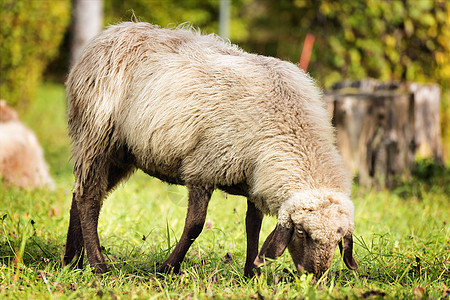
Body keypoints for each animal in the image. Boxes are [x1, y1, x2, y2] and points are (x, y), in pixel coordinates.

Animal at [64, 22, 358, 278]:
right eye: (300, 232)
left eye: (338, 239)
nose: (315, 276)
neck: (288, 122)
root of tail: (114, 30)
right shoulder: (203, 169)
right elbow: (195, 225)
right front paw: (168, 268)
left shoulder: (254, 179)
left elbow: (253, 225)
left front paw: (251, 273)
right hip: (96, 136)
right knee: (89, 199)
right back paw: (97, 266)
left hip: (122, 154)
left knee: (80, 195)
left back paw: (72, 260)